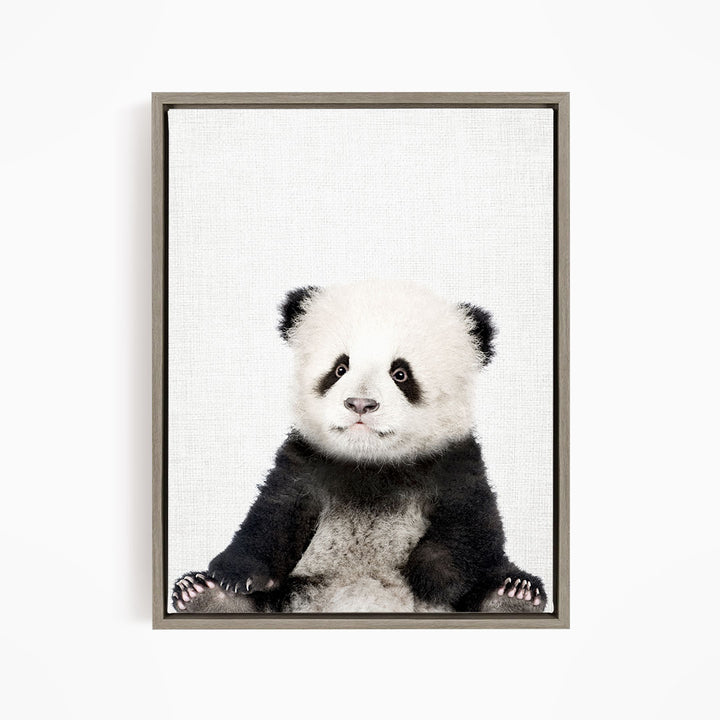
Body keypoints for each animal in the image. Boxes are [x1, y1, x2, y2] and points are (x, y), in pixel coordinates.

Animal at [172, 280, 547, 614]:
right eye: (340, 368)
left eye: (400, 374)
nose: (361, 404)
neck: (370, 464)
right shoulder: (306, 463)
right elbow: (273, 515)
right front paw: (235, 575)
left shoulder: (453, 462)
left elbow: (472, 524)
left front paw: (435, 578)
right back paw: (206, 596)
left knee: (498, 575)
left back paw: (512, 596)